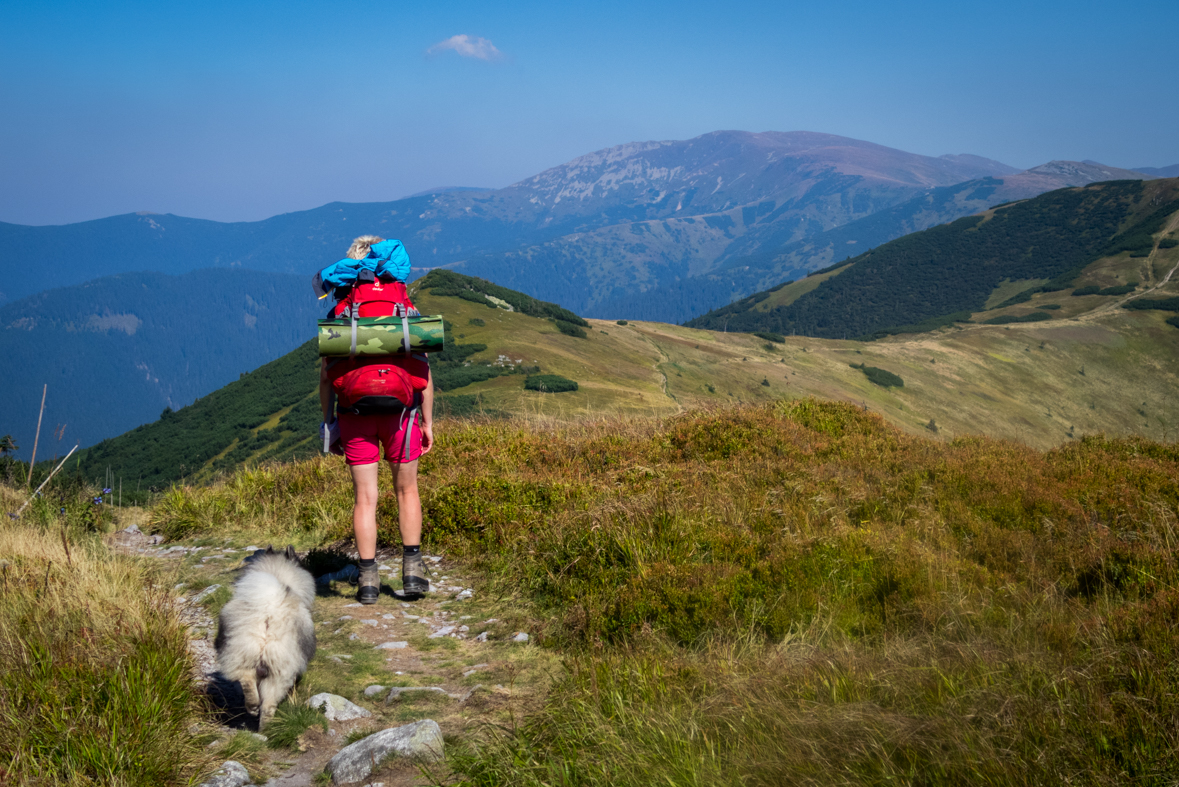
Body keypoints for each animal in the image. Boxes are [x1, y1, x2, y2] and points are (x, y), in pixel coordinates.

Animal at [212, 546, 313, 725]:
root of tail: (268, 609)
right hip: (279, 670)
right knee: (265, 701)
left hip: (245, 653)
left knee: (250, 683)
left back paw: (254, 709)